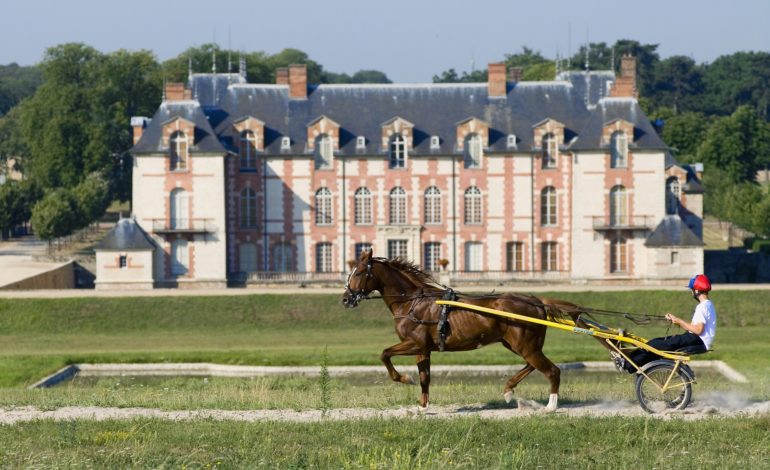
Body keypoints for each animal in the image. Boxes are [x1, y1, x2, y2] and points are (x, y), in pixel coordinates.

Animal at [342, 250, 588, 412]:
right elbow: (424, 377)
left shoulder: (415, 343)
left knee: (552, 370)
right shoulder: (424, 349)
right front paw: (423, 406)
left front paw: (404, 378)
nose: (345, 299)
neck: (413, 302)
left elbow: (384, 354)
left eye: (359, 272)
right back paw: (509, 389)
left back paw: (550, 406)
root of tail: (535, 300)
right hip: (518, 344)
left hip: (525, 345)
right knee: (533, 365)